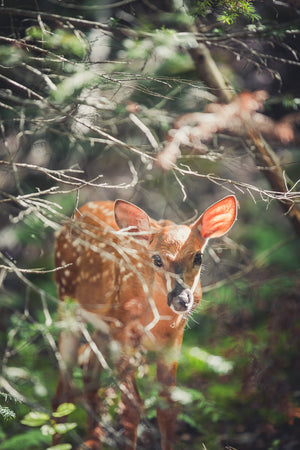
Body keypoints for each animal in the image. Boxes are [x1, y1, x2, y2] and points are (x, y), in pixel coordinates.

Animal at [53, 195, 237, 450]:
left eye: (198, 257)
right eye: (157, 259)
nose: (181, 299)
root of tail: (75, 216)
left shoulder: (174, 338)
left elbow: (167, 405)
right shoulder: (124, 330)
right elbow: (131, 407)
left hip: (103, 326)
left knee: (89, 373)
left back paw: (93, 441)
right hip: (67, 301)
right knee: (63, 389)